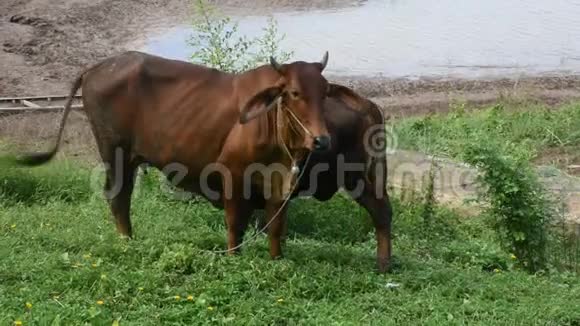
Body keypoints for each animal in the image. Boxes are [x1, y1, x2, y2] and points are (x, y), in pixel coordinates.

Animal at [14, 51, 386, 268]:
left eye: (325, 92)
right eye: (294, 92)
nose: (321, 139)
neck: (271, 125)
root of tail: (96, 67)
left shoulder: (281, 183)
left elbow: (276, 225)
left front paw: (277, 260)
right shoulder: (233, 177)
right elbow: (236, 223)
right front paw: (234, 259)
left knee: (381, 212)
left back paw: (384, 263)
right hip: (115, 152)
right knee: (118, 197)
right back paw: (127, 243)